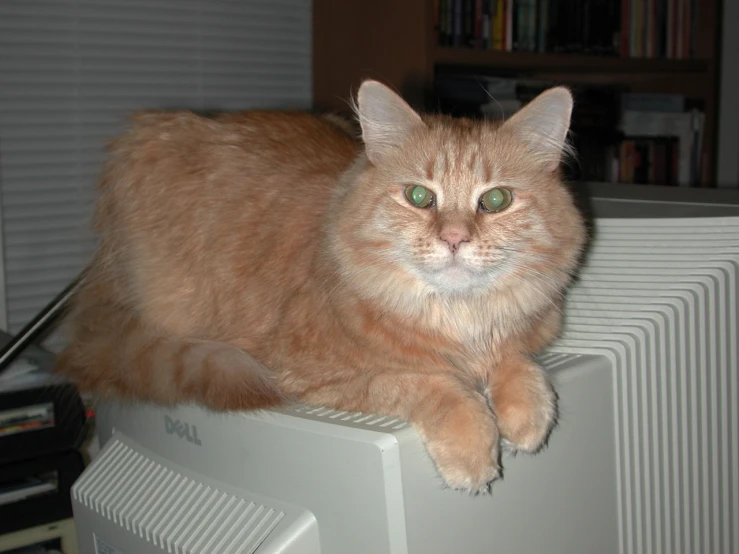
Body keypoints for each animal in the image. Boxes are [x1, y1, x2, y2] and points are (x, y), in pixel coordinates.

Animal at [55, 80, 588, 490]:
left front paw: (526, 416)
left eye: (496, 201)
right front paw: (473, 448)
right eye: (419, 197)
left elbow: (520, 363)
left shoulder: (527, 331)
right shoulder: (307, 373)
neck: (459, 320)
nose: (454, 239)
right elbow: (431, 385)